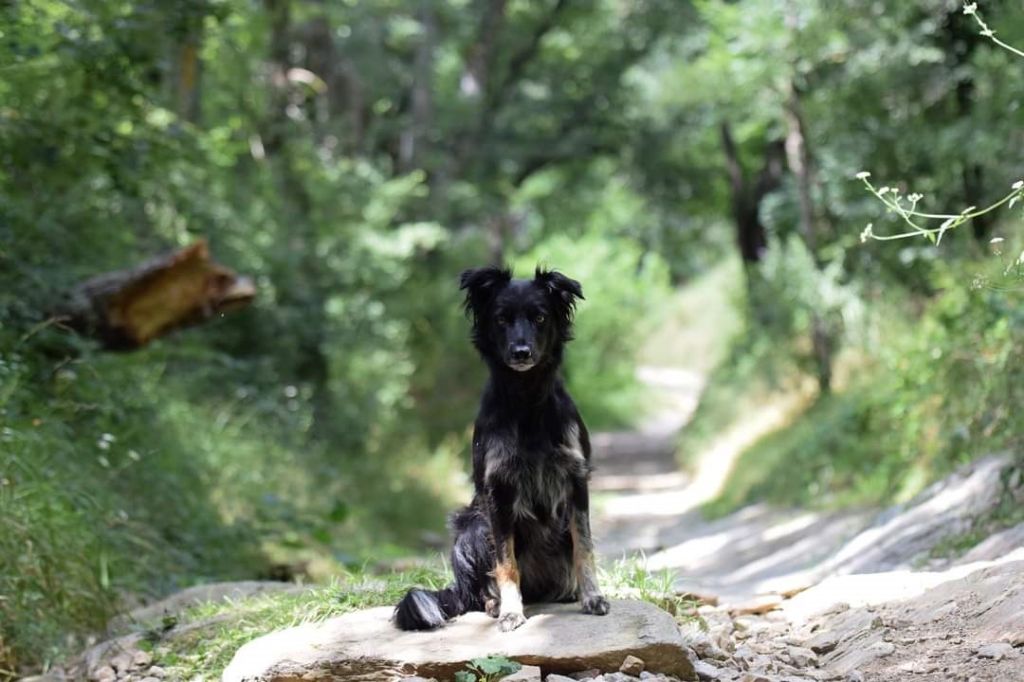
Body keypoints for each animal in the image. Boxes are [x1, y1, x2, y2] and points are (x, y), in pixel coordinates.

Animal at [395, 266, 610, 630]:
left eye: (540, 317)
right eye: (501, 319)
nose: (521, 352)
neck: (527, 402)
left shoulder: (576, 480)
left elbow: (584, 547)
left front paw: (592, 596)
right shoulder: (498, 491)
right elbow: (506, 562)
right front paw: (511, 610)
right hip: (472, 525)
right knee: (485, 583)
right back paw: (495, 602)